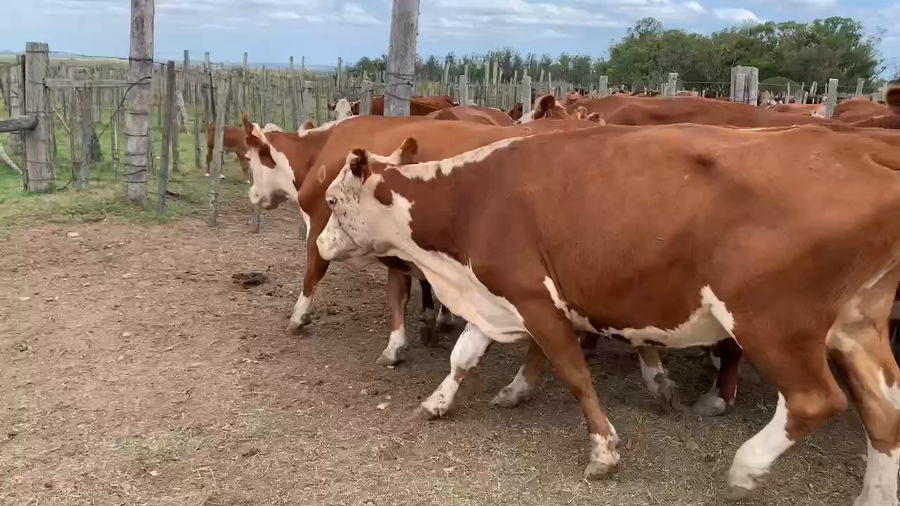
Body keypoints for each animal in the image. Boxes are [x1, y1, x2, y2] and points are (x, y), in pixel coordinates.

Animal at [316, 123, 900, 505]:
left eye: (333, 201)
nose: (320, 245)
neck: (472, 200)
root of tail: (861, 156)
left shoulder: (535, 300)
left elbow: (575, 375)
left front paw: (603, 451)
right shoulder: (495, 296)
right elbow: (464, 355)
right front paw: (438, 402)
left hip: (772, 323)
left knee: (816, 400)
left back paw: (746, 468)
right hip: (856, 326)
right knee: (884, 414)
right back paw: (873, 495)